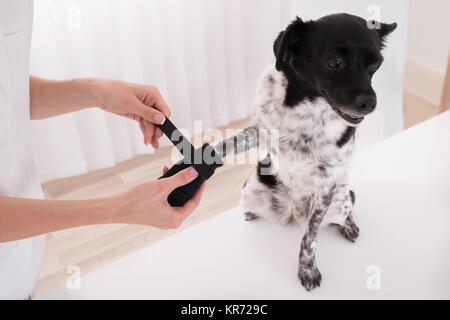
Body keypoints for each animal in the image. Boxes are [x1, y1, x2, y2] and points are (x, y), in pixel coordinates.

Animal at [218, 13, 398, 292]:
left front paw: (307, 269)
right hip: (250, 191)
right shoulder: (259, 131)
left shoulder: (327, 183)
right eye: (334, 62)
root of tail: (294, 212)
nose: (370, 103)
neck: (305, 108)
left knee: (347, 205)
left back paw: (349, 225)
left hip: (339, 200)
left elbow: (310, 237)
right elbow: (224, 145)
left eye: (376, 64)